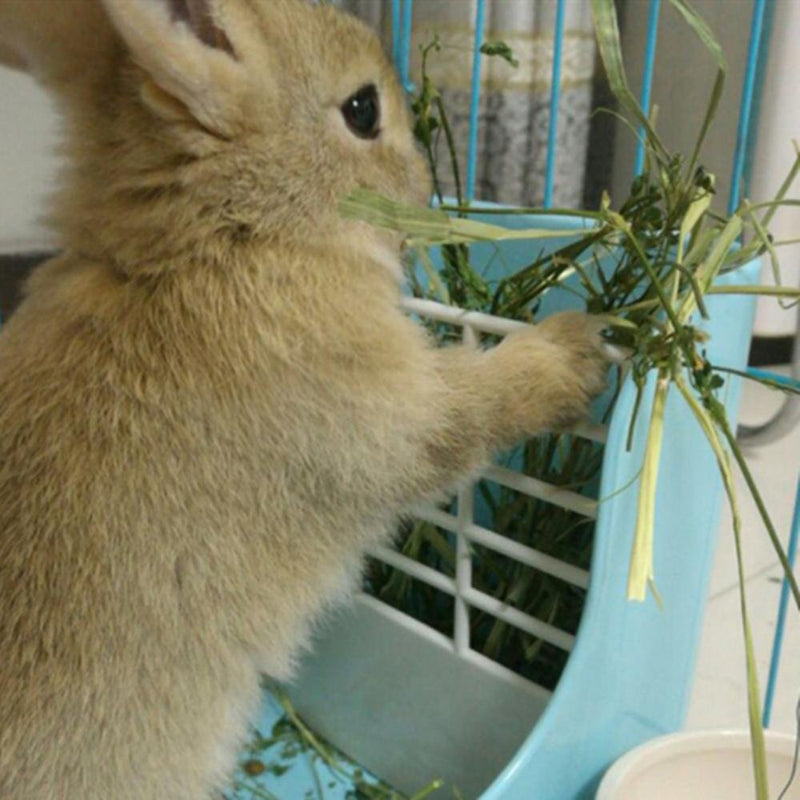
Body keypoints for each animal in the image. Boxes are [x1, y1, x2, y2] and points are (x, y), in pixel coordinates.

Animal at [0, 1, 610, 798]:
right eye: (362, 110)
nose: (422, 187)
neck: (220, 236)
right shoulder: (386, 409)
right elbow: (472, 411)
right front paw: (576, 352)